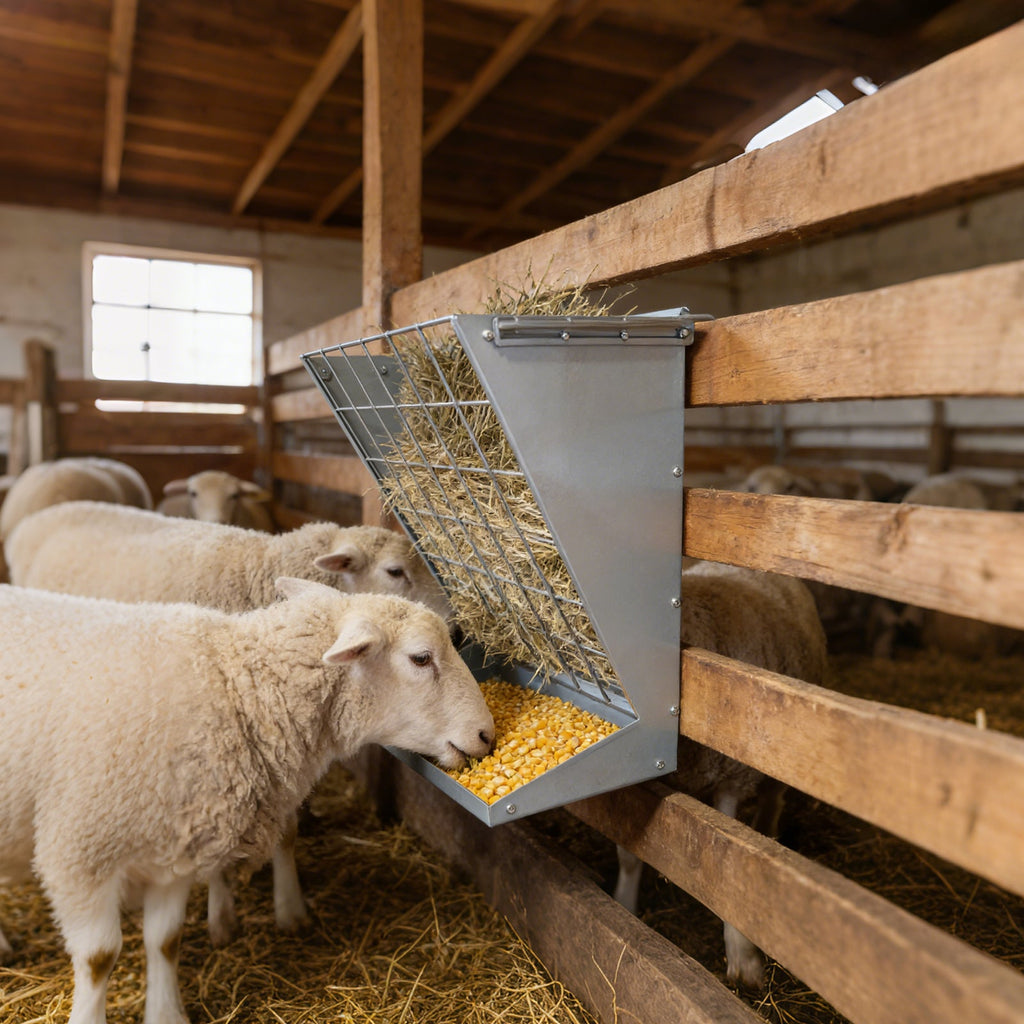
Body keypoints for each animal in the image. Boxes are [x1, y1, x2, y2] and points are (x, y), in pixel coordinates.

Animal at [0, 578, 493, 1024]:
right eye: (421, 657)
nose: (487, 734)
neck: (234, 687)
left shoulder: (175, 851)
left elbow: (165, 940)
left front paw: (167, 1015)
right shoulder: (79, 853)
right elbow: (100, 958)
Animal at [613, 560, 828, 991]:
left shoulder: (732, 778)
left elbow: (728, 865)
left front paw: (744, 959)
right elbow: (629, 853)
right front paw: (624, 905)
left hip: (777, 749)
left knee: (772, 800)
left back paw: (767, 831)